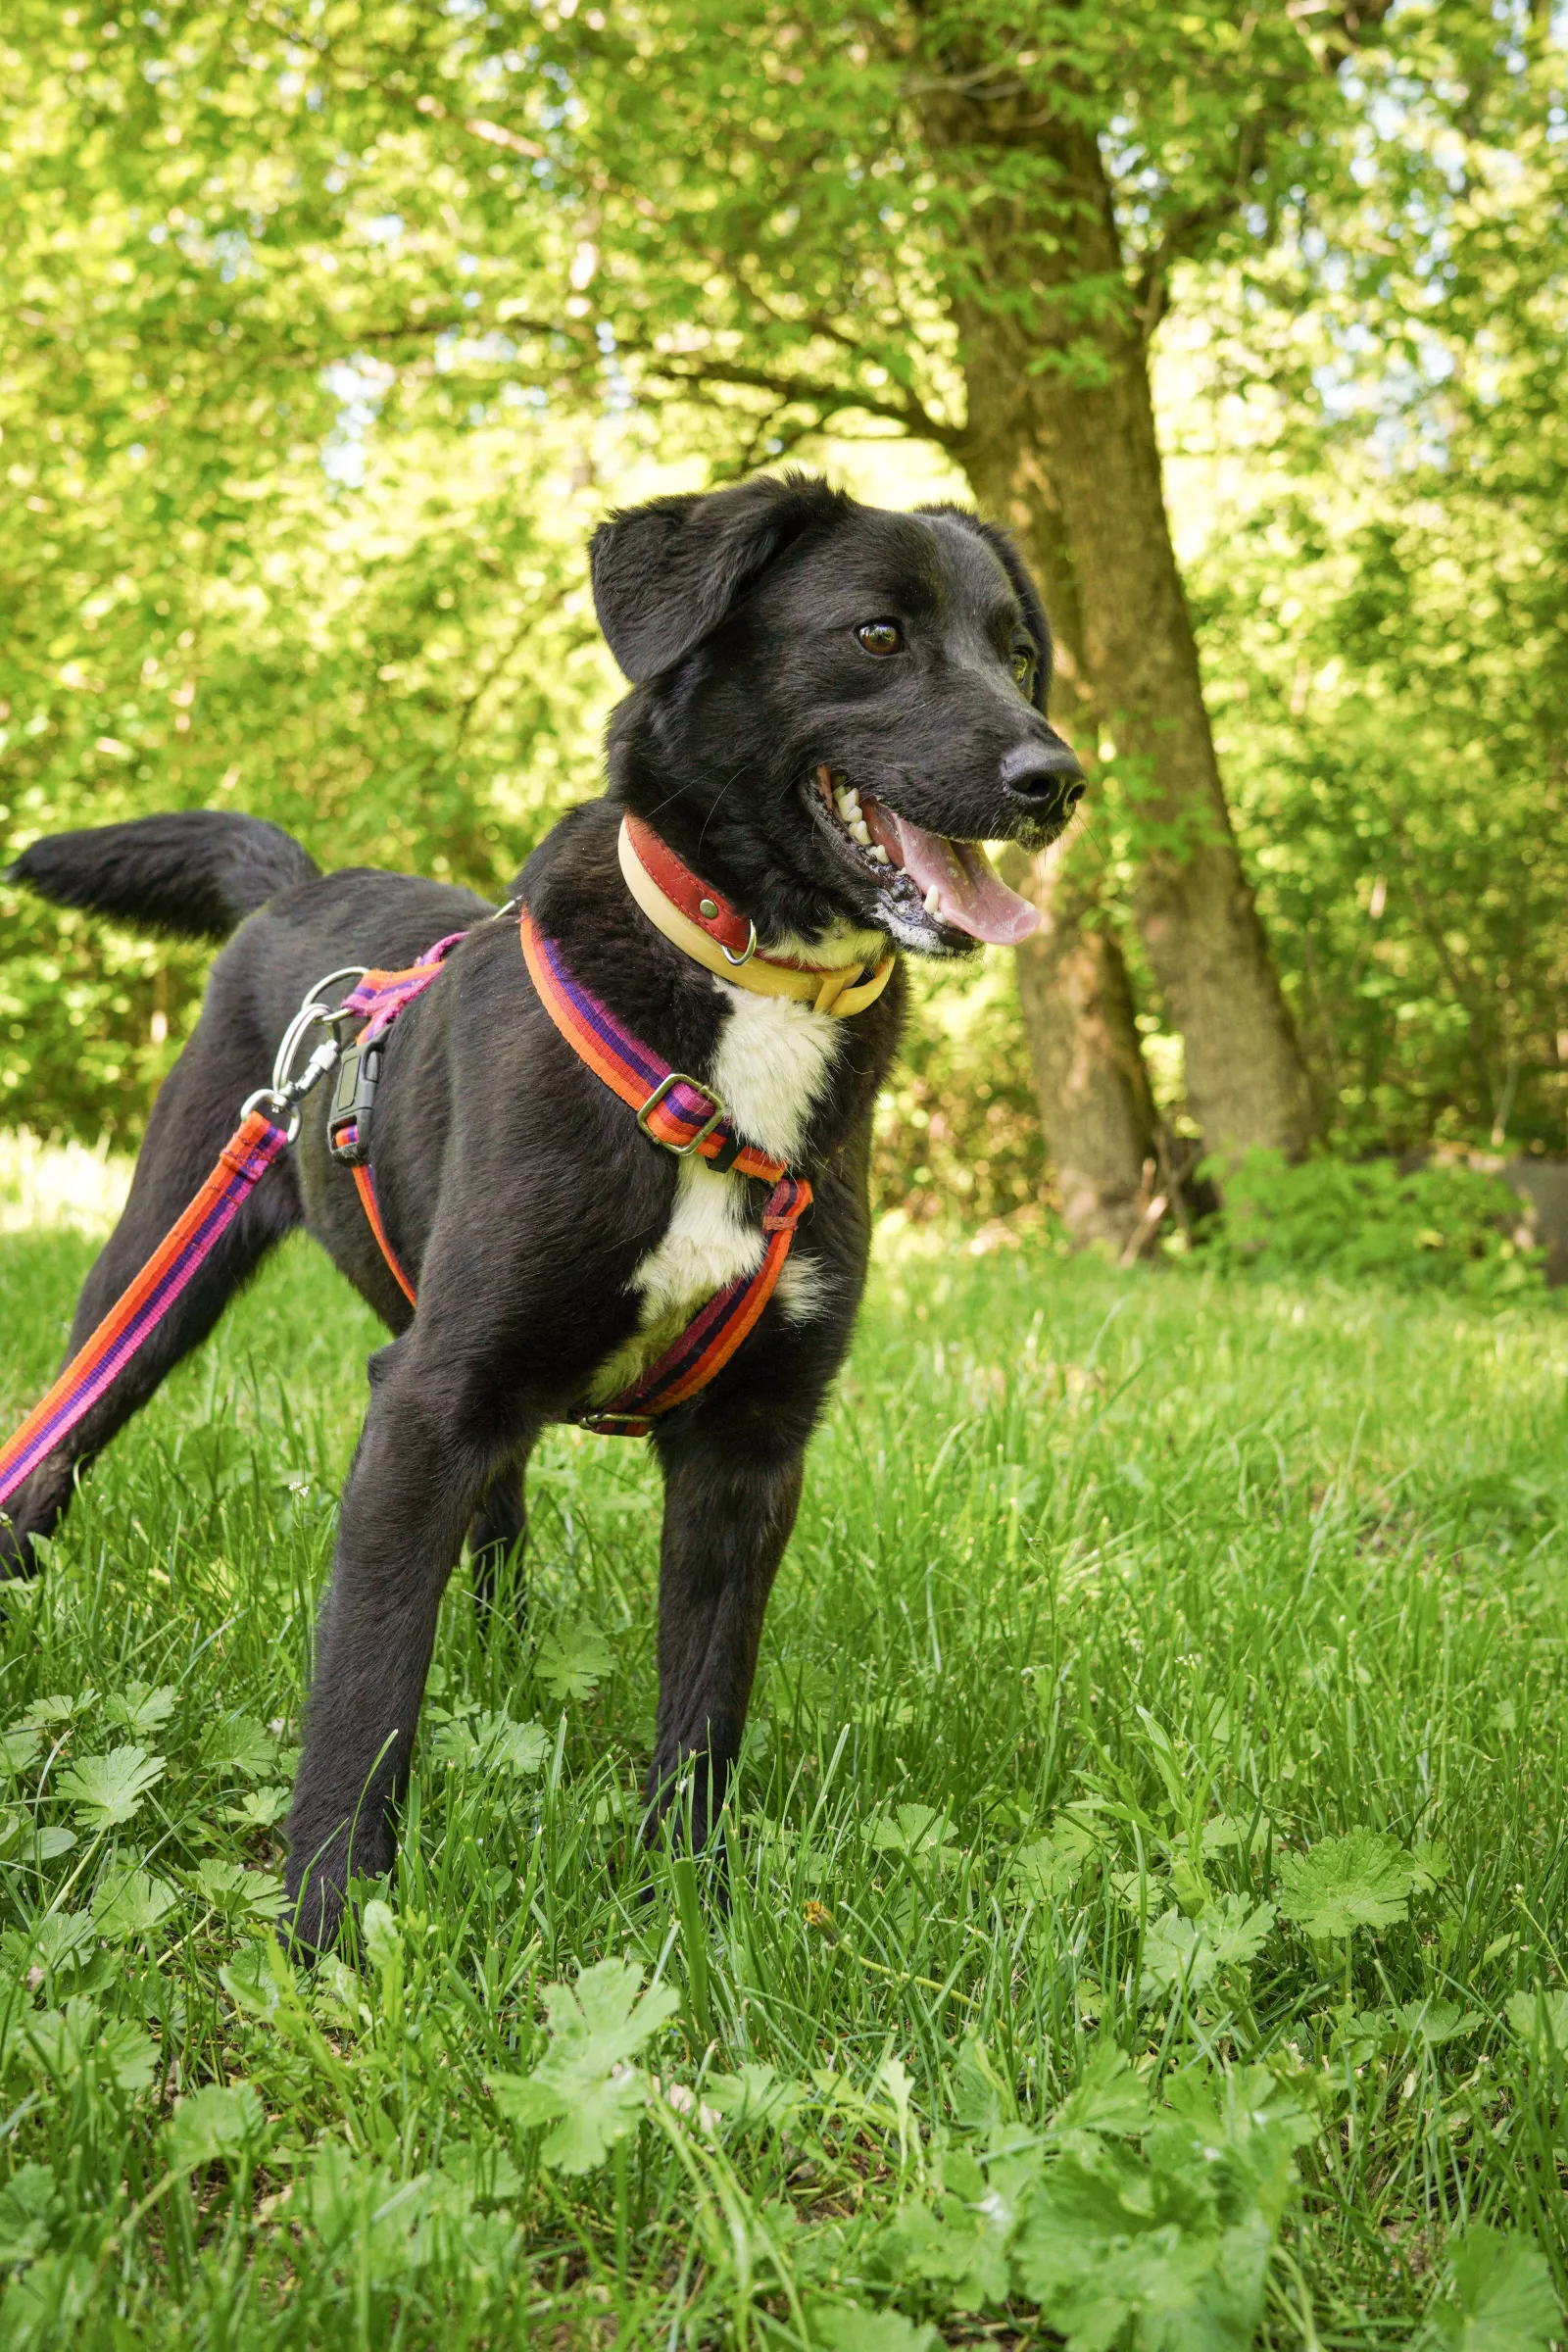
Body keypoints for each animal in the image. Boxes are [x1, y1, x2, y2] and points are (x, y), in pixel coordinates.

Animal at [3, 472, 1082, 1950]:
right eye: (875, 634)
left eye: (1017, 653)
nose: (1057, 781)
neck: (742, 988)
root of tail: (296, 887)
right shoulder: (429, 1402)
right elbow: (366, 1691)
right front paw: (327, 1929)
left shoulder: (750, 1446)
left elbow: (703, 1713)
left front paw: (694, 1910)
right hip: (161, 1266)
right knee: (61, 1438)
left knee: (499, 1516)